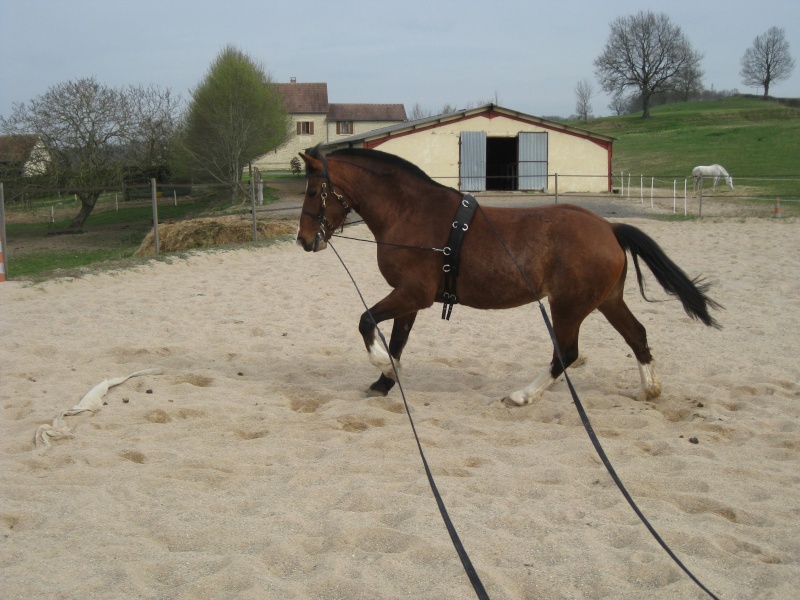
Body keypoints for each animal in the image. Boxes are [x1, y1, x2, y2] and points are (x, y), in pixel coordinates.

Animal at [296, 148, 720, 406]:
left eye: (314, 191)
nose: (303, 240)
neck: (410, 213)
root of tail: (610, 228)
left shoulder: (413, 293)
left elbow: (367, 321)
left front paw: (383, 368)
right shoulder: (410, 297)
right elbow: (398, 340)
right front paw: (385, 381)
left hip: (567, 307)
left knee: (567, 354)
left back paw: (522, 396)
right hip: (606, 301)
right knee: (636, 335)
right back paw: (650, 389)